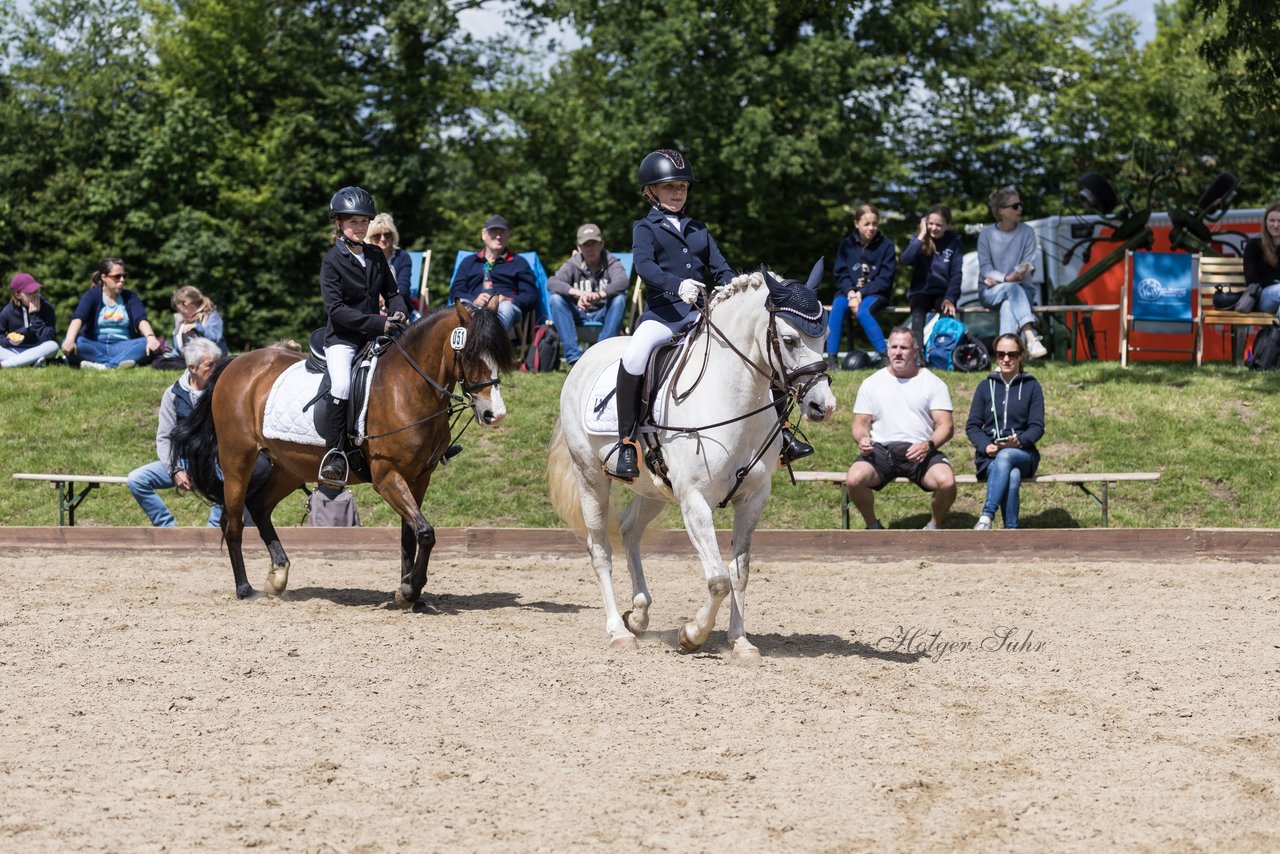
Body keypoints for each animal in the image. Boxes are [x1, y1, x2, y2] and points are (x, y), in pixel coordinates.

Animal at [172, 303, 517, 604]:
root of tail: (237, 363)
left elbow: (412, 534)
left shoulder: (419, 478)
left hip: (288, 467)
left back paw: (278, 575)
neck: (408, 387)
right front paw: (410, 590)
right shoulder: (387, 477)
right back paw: (245, 589)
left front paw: (410, 594)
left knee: (259, 507)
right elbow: (426, 532)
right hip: (237, 460)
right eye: (470, 354)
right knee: (232, 522)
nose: (495, 414)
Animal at [550, 265, 839, 660]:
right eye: (790, 339)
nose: (823, 406)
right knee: (600, 550)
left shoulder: (753, 499)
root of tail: (589, 354)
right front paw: (692, 635)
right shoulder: (695, 500)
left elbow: (739, 571)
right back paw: (618, 632)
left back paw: (638, 615)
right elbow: (717, 579)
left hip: (654, 489)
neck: (731, 397)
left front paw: (740, 642)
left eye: (824, 336)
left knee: (629, 529)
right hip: (591, 478)